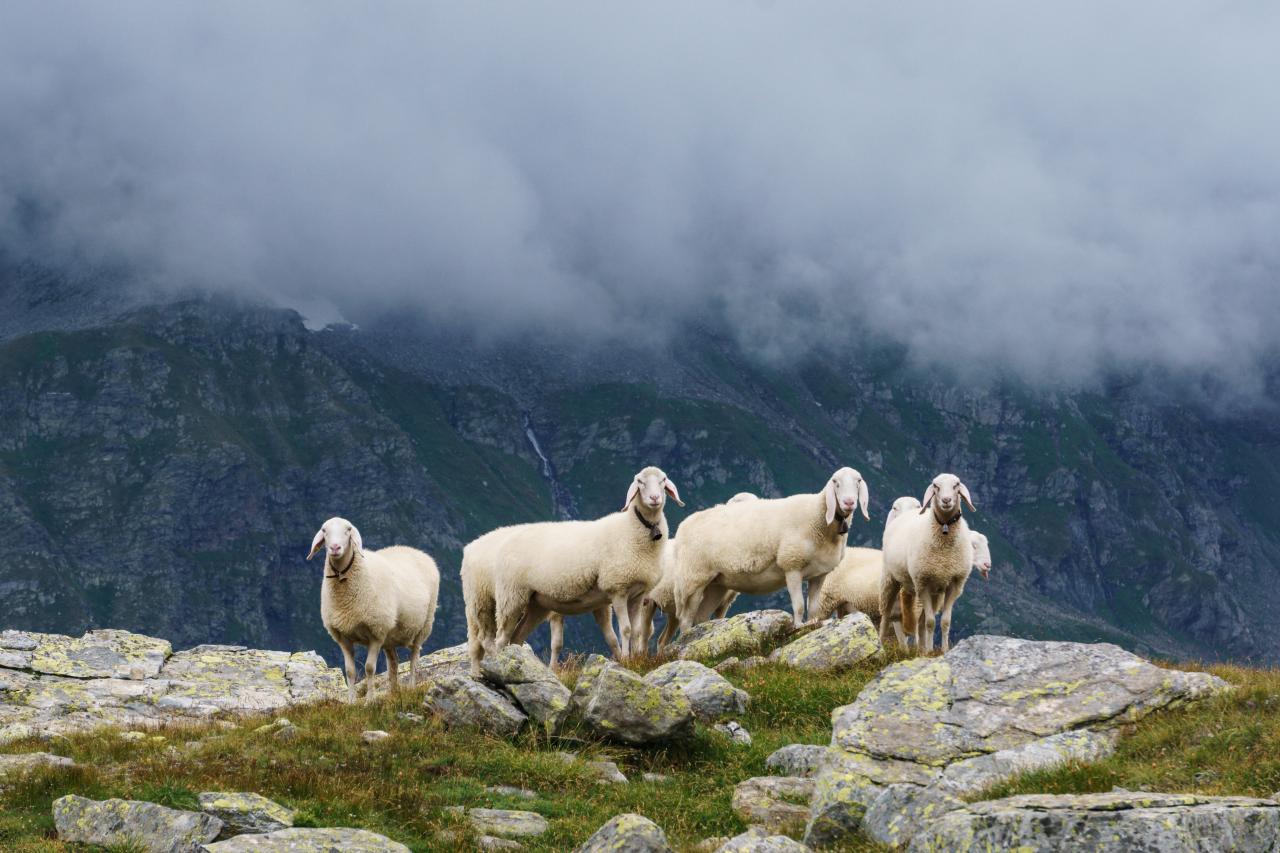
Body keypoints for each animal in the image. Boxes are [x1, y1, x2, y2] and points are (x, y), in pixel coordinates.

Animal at [307, 517, 440, 703]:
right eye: (324, 530)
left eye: (348, 529)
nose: (335, 548)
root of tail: (416, 551)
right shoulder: (343, 636)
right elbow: (350, 671)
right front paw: (351, 702)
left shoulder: (376, 633)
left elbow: (370, 668)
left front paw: (369, 701)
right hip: (390, 634)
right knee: (394, 662)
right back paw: (393, 693)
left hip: (423, 625)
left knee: (414, 657)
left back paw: (411, 687)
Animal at [461, 465, 681, 677]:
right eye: (640, 482)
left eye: (663, 480)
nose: (655, 498)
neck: (633, 529)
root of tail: (472, 546)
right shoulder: (617, 589)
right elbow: (625, 630)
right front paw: (627, 661)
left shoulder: (636, 594)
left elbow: (634, 631)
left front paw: (636, 660)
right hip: (503, 598)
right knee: (495, 639)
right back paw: (488, 669)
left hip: (535, 604)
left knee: (515, 637)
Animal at [671, 467, 870, 633]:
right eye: (836, 482)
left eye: (859, 481)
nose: (849, 502)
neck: (818, 517)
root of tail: (683, 525)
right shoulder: (791, 564)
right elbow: (799, 604)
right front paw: (798, 626)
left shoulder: (819, 575)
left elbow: (813, 607)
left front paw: (814, 624)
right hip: (694, 578)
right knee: (686, 618)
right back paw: (687, 638)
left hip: (717, 582)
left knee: (701, 616)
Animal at [880, 473, 977, 654]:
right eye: (935, 486)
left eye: (956, 485)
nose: (946, 500)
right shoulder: (922, 583)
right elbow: (931, 622)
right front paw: (931, 652)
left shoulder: (954, 584)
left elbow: (944, 621)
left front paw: (943, 650)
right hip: (890, 579)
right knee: (886, 615)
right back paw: (880, 645)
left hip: (935, 591)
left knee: (920, 622)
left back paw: (923, 648)